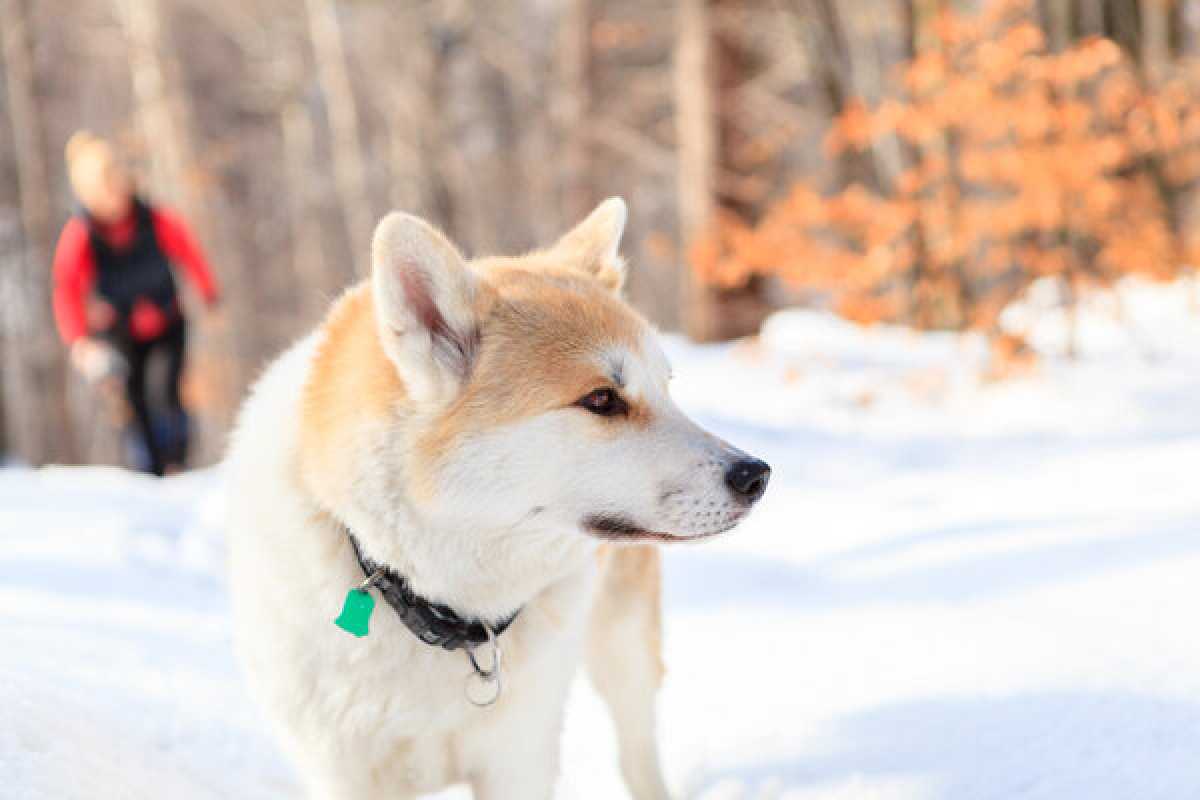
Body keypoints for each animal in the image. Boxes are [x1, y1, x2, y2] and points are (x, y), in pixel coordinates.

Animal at [225, 199, 768, 800]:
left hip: (623, 649)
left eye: (666, 389)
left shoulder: (519, 759)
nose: (756, 475)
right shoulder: (341, 773)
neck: (438, 606)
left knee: (637, 751)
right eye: (602, 399)